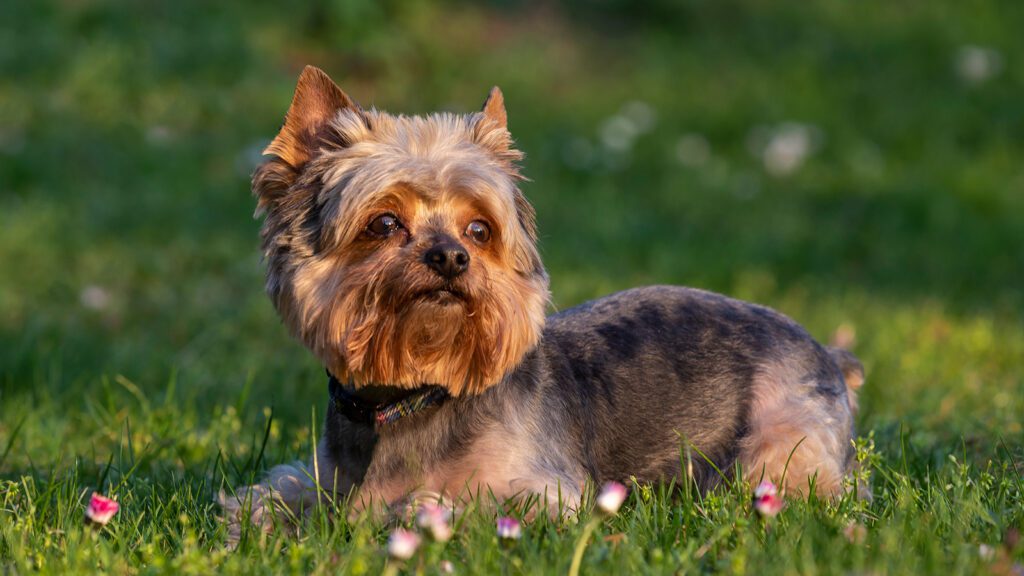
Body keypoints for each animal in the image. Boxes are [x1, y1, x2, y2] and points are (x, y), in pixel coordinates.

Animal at [222, 66, 864, 532]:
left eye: (479, 229)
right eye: (382, 223)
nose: (451, 257)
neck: (414, 397)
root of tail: (829, 354)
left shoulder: (546, 496)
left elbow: (455, 504)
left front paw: (403, 512)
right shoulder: (321, 476)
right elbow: (269, 497)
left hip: (780, 448)